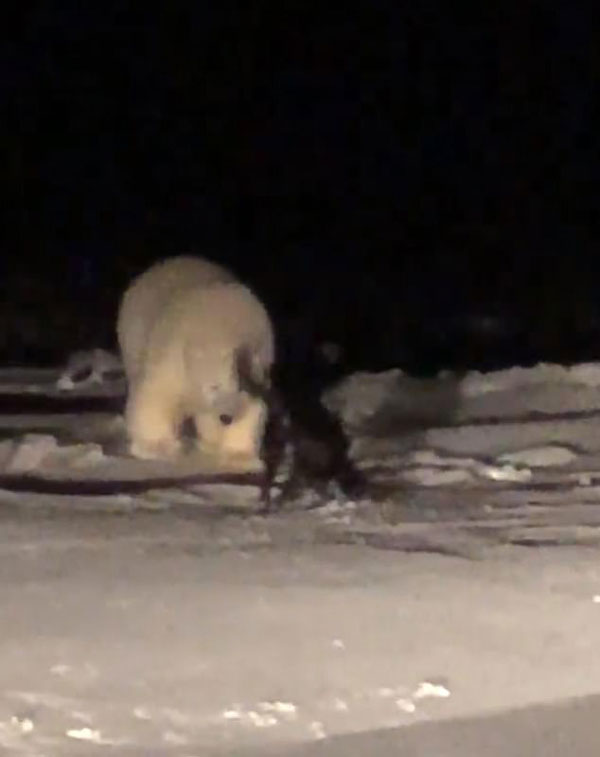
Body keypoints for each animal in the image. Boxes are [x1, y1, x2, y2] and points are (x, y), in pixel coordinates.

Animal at [115, 255, 274, 466]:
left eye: (243, 384)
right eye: (215, 385)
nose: (226, 416)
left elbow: (253, 409)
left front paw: (240, 456)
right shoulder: (173, 356)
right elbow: (156, 395)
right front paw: (157, 447)